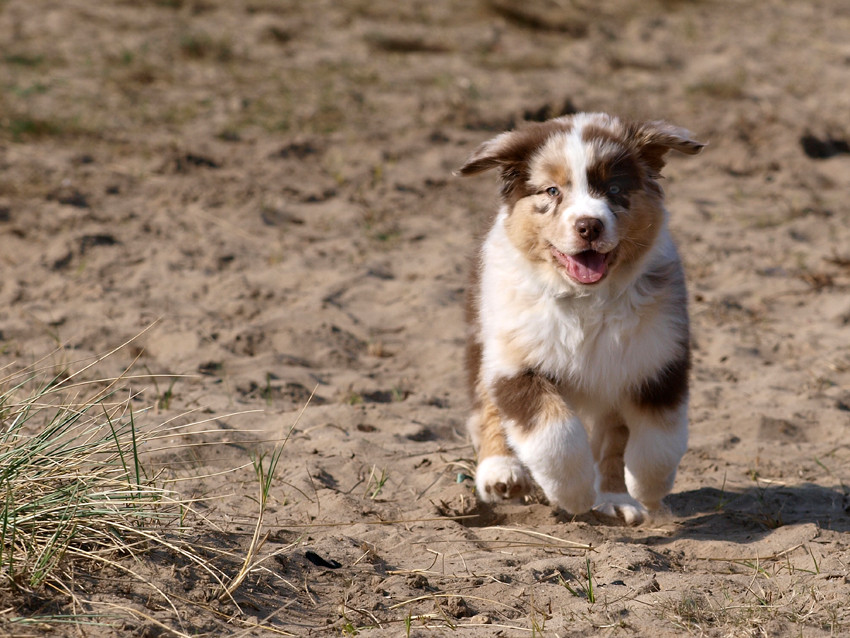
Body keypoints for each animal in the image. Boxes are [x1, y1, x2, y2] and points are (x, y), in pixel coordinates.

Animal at [458, 114, 704, 524]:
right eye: (552, 190)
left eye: (615, 188)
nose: (589, 225)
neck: (586, 299)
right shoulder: (515, 361)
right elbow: (555, 433)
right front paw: (572, 494)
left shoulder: (657, 357)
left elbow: (660, 439)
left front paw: (646, 491)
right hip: (483, 333)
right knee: (485, 404)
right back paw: (501, 472)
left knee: (614, 437)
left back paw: (616, 498)